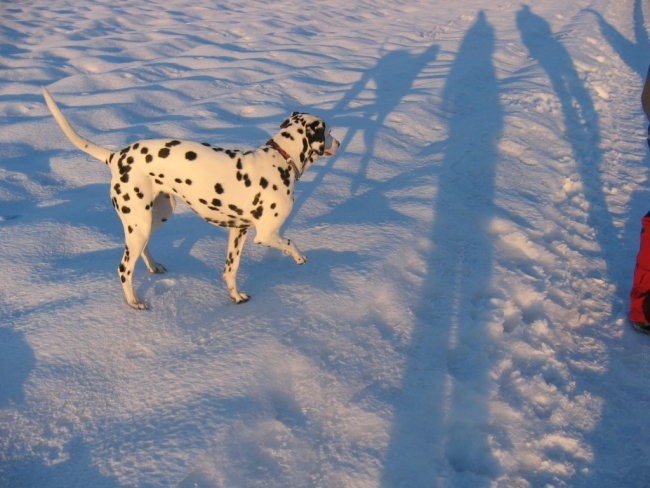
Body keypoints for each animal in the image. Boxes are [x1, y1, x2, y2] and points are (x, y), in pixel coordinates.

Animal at [43, 88, 342, 308]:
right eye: (328, 132)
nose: (339, 143)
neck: (280, 159)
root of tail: (116, 156)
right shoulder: (266, 234)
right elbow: (291, 243)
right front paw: (300, 258)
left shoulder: (238, 231)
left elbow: (230, 270)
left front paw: (235, 296)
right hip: (139, 221)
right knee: (124, 268)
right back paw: (134, 302)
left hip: (154, 217)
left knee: (141, 250)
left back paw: (154, 267)